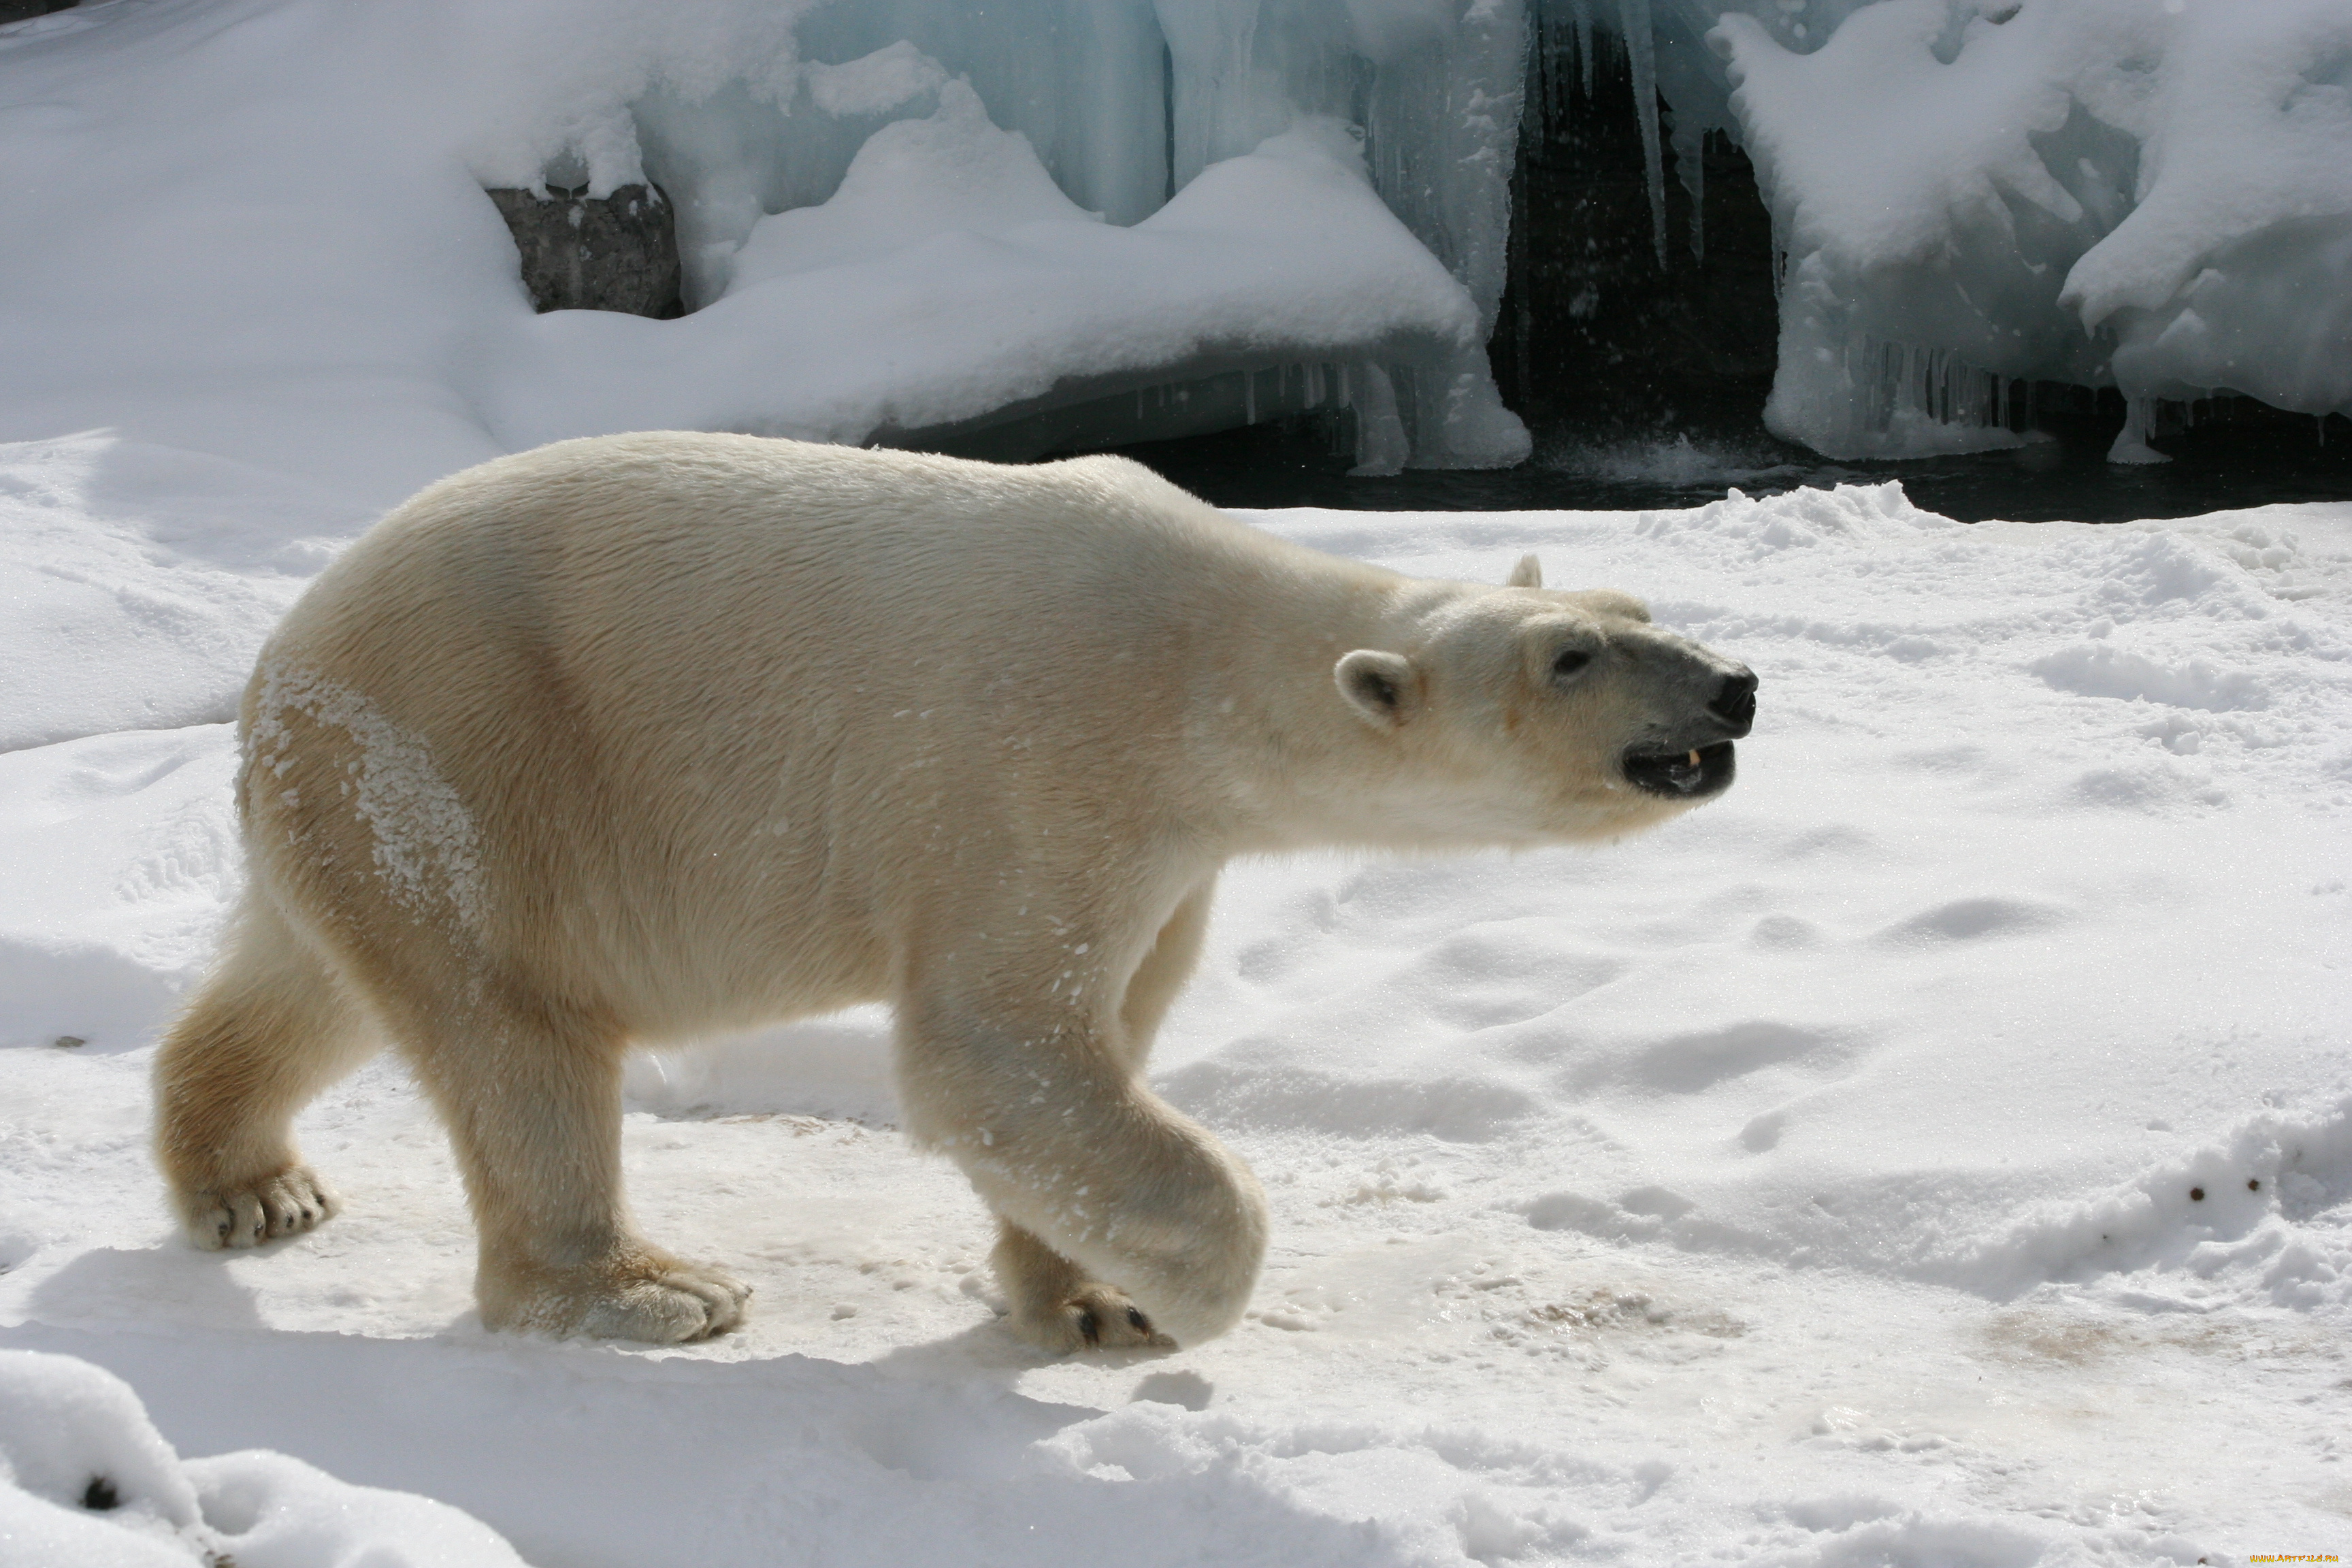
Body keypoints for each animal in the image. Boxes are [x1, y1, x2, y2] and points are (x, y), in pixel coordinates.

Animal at [151, 435, 1750, 1354]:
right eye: (1569, 658)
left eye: (1635, 612)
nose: (1733, 685)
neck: (1201, 659)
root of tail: (278, 660)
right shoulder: (1045, 763)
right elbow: (995, 1047)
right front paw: (1187, 1293)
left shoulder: (1169, 849)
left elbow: (1103, 1038)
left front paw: (1088, 1294)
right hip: (471, 761)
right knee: (514, 1038)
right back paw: (648, 1289)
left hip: (365, 799)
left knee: (315, 982)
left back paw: (254, 1183)